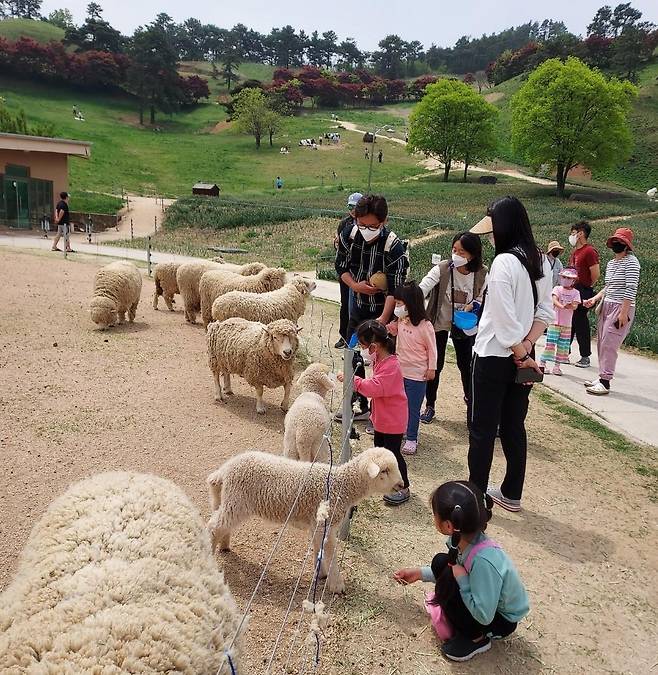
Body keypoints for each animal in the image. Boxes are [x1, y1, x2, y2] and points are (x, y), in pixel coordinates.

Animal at [206, 448, 400, 592]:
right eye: (384, 471)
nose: (401, 485)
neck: (341, 485)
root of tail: (226, 469)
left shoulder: (318, 524)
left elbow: (319, 547)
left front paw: (320, 573)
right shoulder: (325, 524)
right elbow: (330, 552)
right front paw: (337, 585)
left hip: (229, 500)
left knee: (221, 524)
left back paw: (224, 545)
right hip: (237, 501)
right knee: (214, 526)